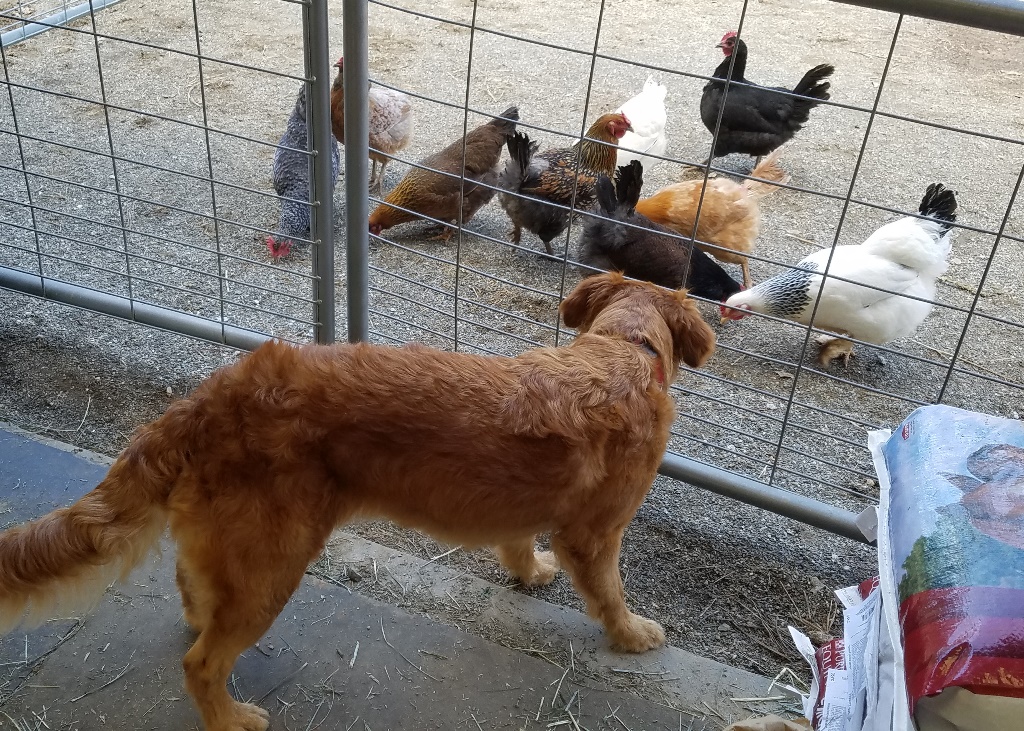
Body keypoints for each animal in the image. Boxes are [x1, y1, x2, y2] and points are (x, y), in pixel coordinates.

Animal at [0, 274, 712, 728]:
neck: (623, 350)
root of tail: (212, 400)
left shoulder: (525, 512)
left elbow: (518, 542)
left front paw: (531, 571)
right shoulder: (596, 535)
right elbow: (610, 593)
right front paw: (633, 634)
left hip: (237, 554)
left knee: (192, 597)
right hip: (273, 567)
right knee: (200, 664)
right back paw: (231, 719)